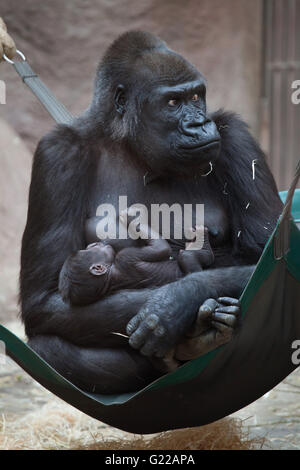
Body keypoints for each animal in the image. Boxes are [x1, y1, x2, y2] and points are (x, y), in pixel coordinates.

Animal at [19, 31, 282, 394]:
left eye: (196, 97)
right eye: (172, 103)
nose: (199, 123)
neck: (126, 141)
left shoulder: (235, 136)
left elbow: (264, 251)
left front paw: (175, 303)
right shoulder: (57, 153)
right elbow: (44, 300)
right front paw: (176, 309)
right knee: (49, 347)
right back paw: (191, 343)